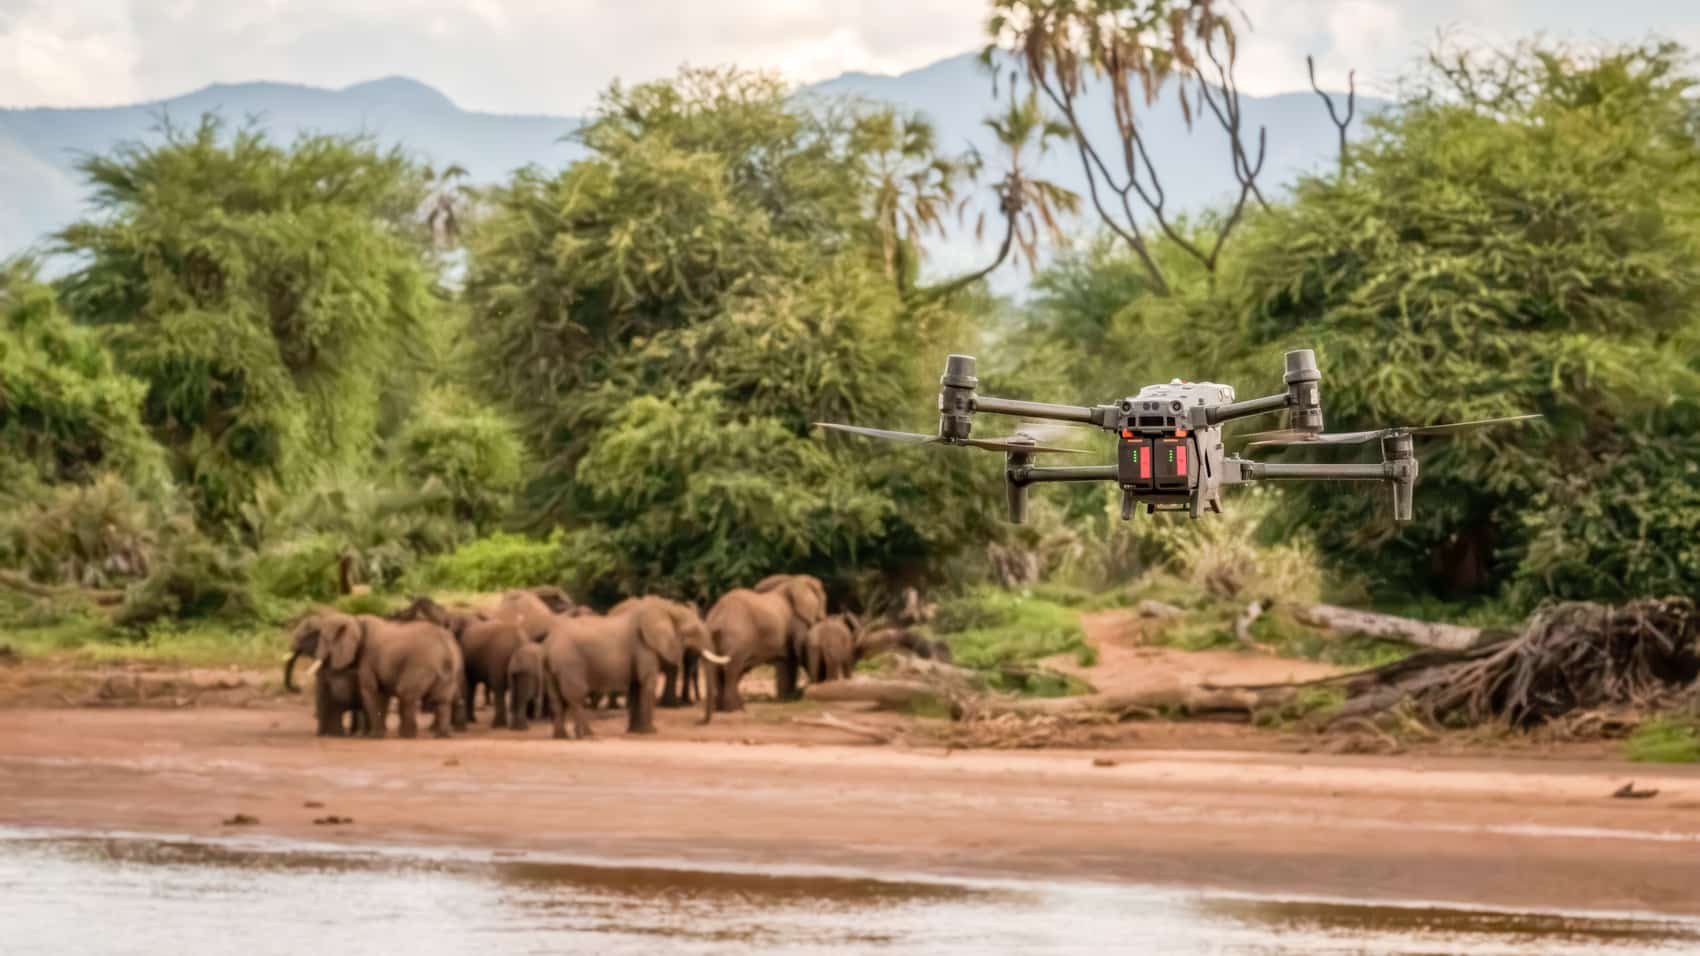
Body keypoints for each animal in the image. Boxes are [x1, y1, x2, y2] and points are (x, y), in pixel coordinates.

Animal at [312, 613, 462, 739]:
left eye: (324, 639)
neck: (355, 620)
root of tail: (446, 649)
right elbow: (383, 693)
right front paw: (378, 734)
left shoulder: (368, 658)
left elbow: (371, 691)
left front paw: (374, 736)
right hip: (451, 670)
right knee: (442, 701)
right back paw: (442, 736)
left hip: (421, 664)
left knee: (407, 694)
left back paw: (407, 736)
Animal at [542, 597, 726, 739]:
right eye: (693, 631)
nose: (699, 722)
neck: (667, 609)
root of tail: (548, 644)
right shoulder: (643, 647)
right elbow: (647, 684)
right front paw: (651, 732)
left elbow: (636, 687)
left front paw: (636, 731)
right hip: (570, 663)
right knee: (576, 697)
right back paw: (587, 735)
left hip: (552, 667)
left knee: (557, 700)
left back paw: (560, 737)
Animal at [700, 574, 829, 719]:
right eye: (824, 600)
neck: (795, 580)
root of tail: (717, 616)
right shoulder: (797, 621)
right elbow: (799, 652)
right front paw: (795, 697)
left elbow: (789, 660)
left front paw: (788, 699)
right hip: (737, 637)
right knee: (732, 669)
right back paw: (736, 709)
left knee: (721, 669)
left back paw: (724, 709)